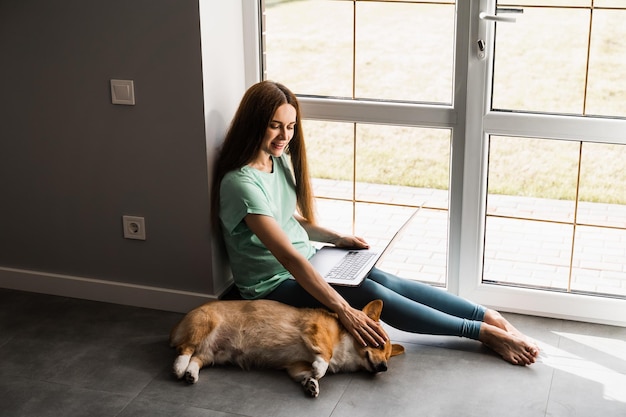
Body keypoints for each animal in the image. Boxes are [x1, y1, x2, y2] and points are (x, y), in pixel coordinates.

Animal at [169, 300, 404, 396]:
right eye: (378, 344)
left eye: (388, 356)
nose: (384, 367)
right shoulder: (316, 332)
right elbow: (324, 357)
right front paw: (319, 371)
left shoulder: (295, 366)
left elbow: (306, 374)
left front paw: (312, 385)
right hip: (205, 324)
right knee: (185, 348)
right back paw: (179, 368)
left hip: (213, 353)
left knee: (196, 358)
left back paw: (190, 374)